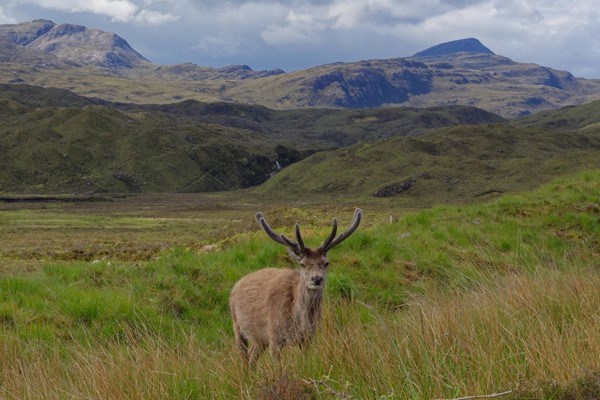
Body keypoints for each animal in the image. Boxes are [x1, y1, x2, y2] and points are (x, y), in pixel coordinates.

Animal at [229, 209, 360, 366]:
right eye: (302, 264)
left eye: (326, 262)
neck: (300, 320)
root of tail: (236, 285)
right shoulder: (274, 336)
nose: (317, 279)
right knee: (244, 356)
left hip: (260, 338)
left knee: (252, 357)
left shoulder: (308, 338)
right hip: (237, 326)